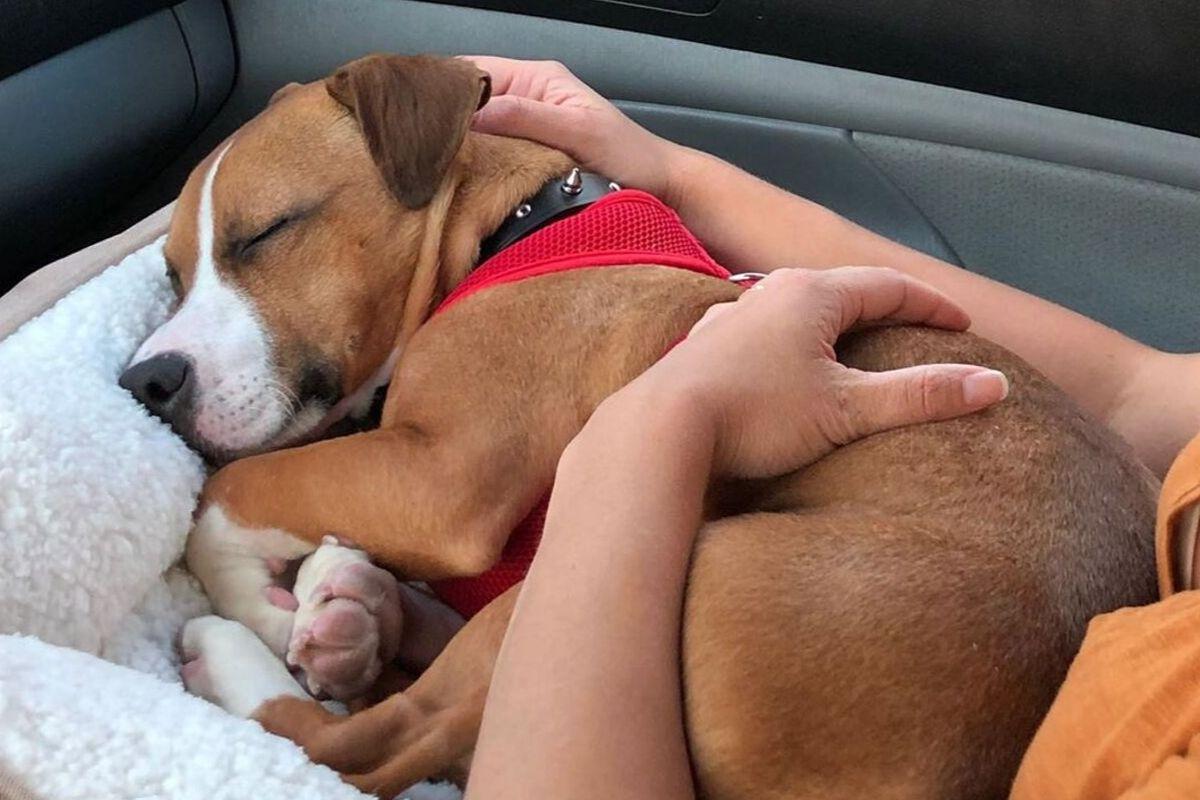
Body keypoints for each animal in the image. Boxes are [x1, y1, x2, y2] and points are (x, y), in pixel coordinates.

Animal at [119, 54, 1159, 798]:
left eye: (266, 233)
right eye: (170, 271)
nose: (144, 381)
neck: (509, 230)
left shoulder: (445, 476)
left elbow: (230, 489)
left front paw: (257, 601)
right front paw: (311, 595)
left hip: (648, 564)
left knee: (376, 745)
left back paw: (252, 652)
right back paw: (354, 609)